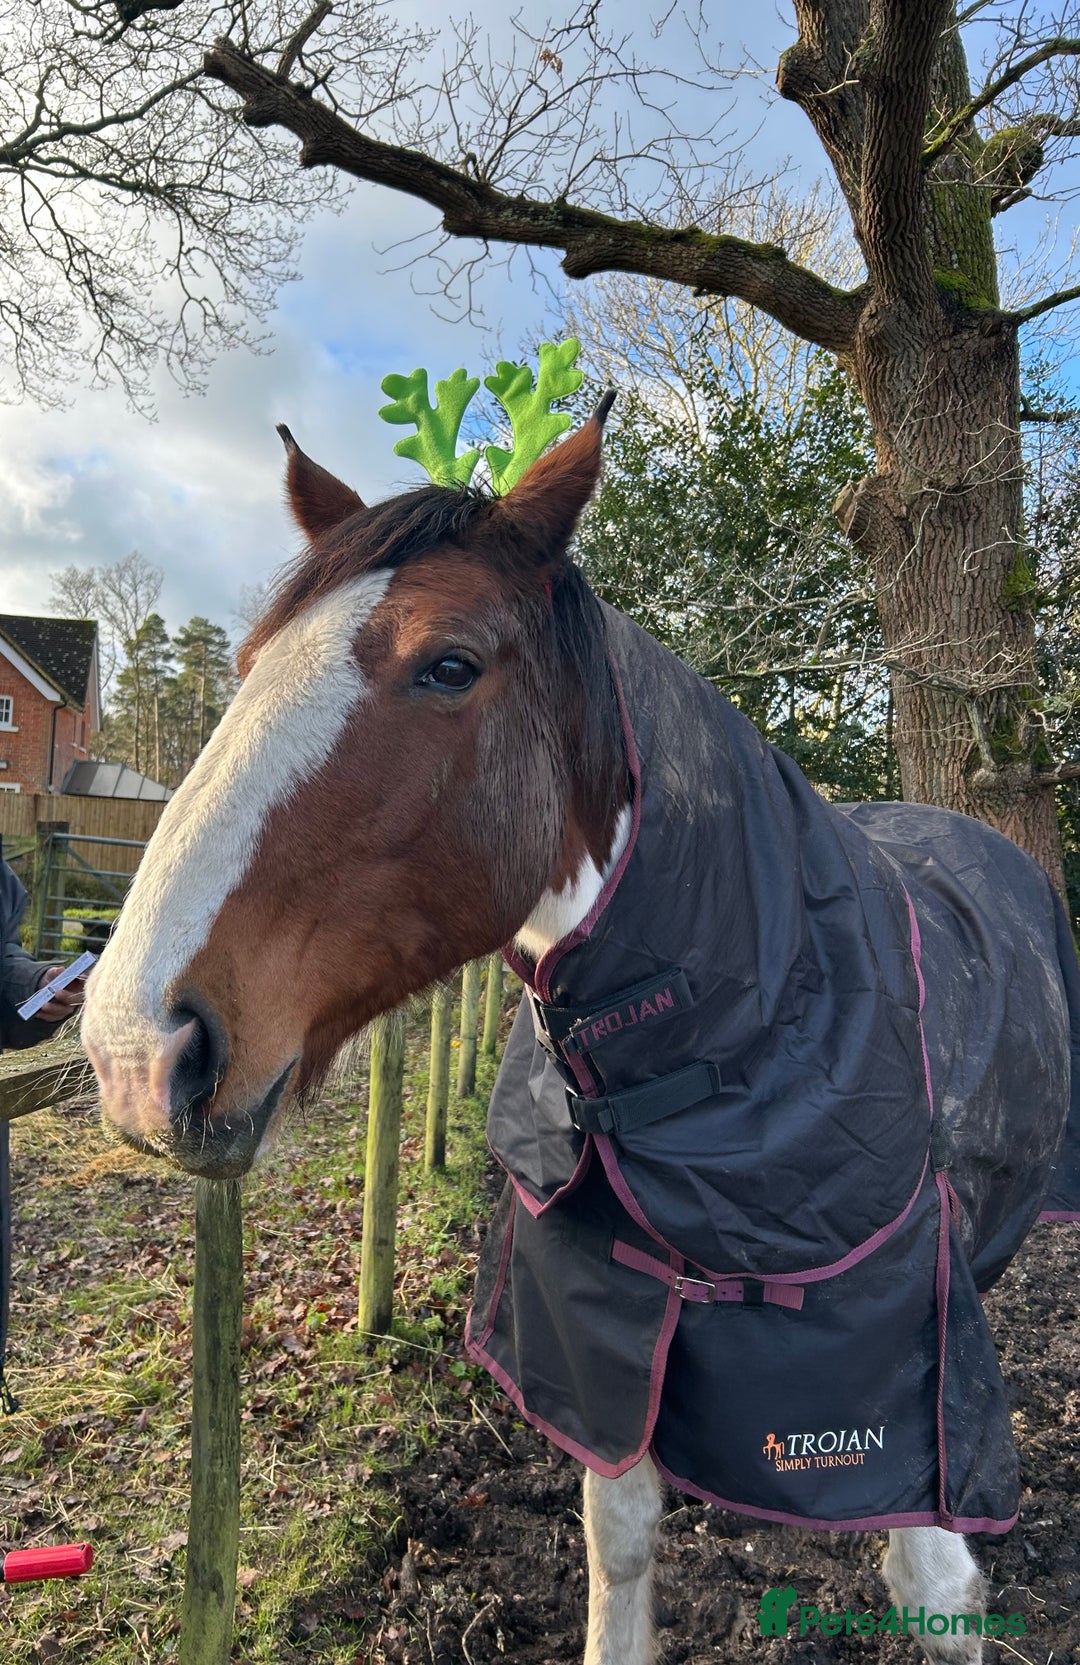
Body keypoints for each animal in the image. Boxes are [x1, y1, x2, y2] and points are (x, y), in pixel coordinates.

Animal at [81, 403, 1080, 1665]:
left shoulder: (911, 1395)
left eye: (448, 665)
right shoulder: (604, 1357)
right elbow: (624, 1540)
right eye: (254, 667)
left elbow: (934, 1582)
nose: (132, 1050)